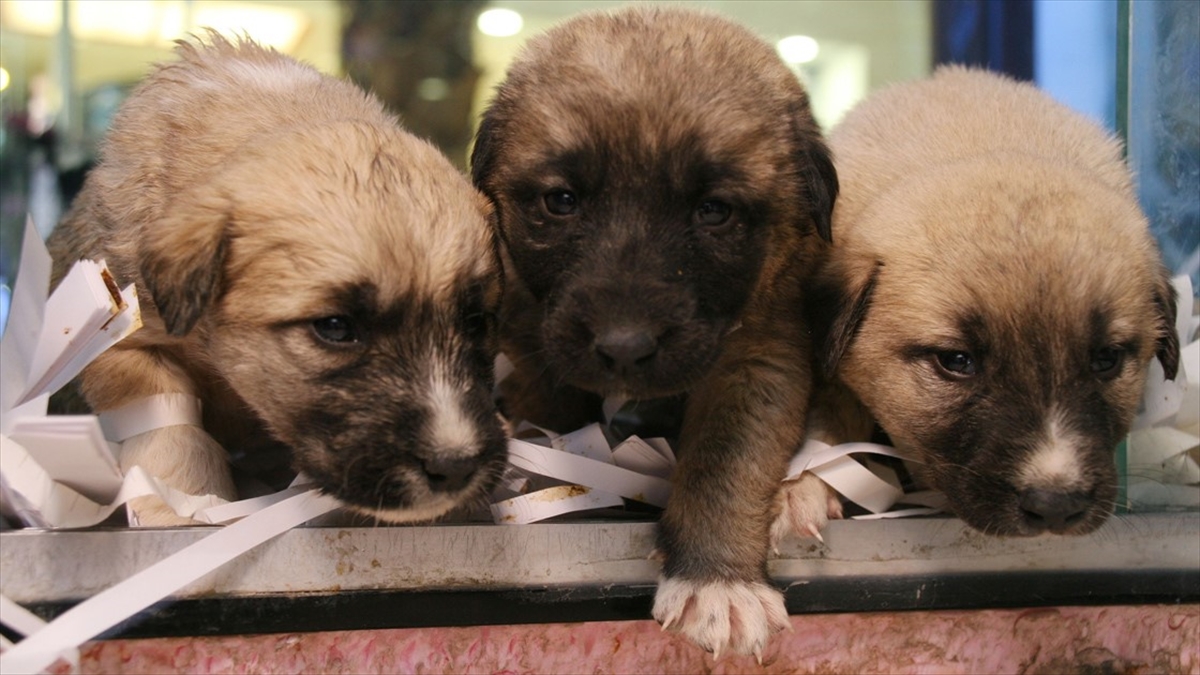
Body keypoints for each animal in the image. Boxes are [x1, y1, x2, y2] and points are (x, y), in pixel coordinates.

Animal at [45, 34, 506, 523]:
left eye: (476, 321)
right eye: (334, 327)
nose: (455, 467)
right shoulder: (126, 344)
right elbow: (172, 429)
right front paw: (183, 504)